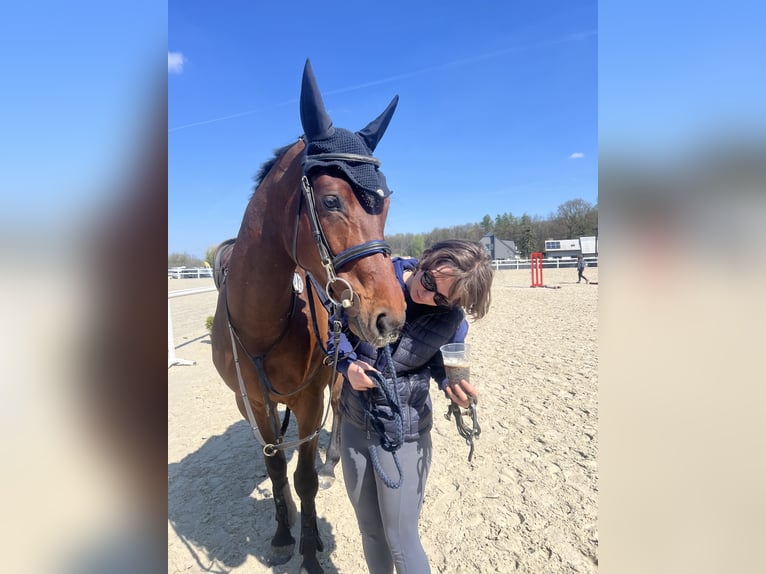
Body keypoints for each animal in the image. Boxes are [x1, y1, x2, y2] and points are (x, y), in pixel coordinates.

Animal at [211, 60, 406, 574]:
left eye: (385, 204)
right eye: (332, 200)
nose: (391, 317)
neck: (262, 321)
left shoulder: (310, 400)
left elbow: (304, 478)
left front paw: (312, 552)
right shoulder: (253, 404)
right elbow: (276, 468)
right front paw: (283, 534)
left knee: (339, 407)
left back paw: (334, 459)